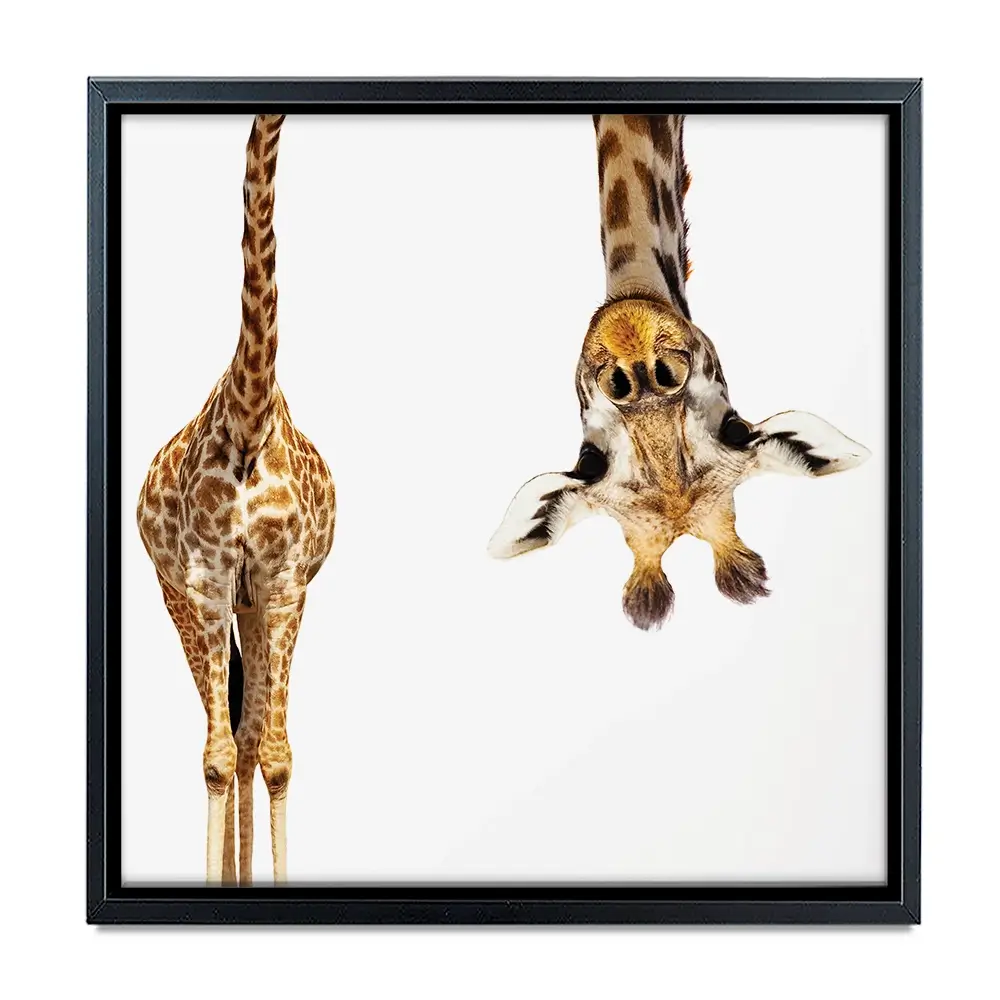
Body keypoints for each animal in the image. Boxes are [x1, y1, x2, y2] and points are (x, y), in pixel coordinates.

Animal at [136, 114, 336, 884]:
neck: (249, 418)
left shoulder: (281, 582)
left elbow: (272, 756)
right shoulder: (206, 579)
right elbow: (216, 758)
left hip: (257, 605)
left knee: (250, 737)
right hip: (182, 599)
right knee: (222, 735)